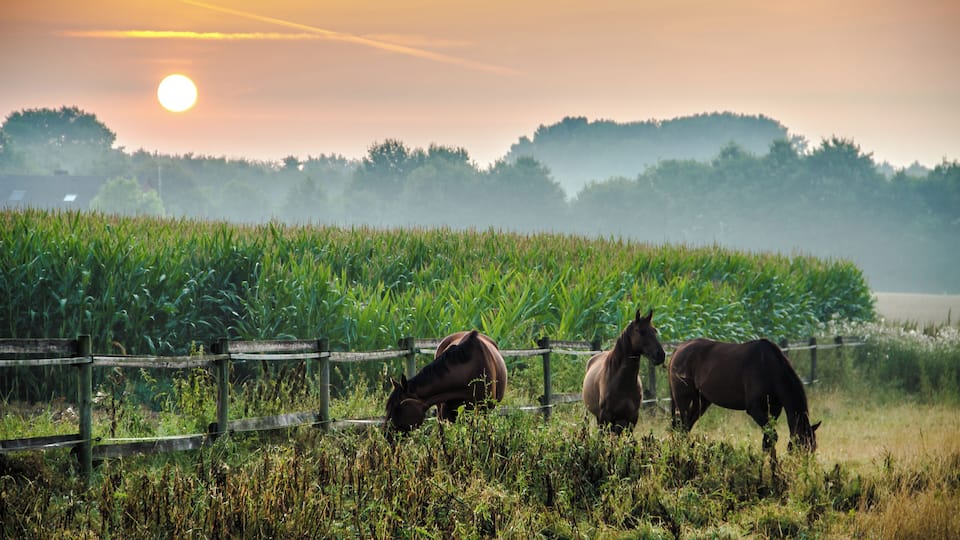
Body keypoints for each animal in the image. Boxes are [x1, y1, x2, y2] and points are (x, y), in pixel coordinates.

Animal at [668, 338, 821, 459]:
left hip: (701, 402)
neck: (769, 367)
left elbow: (767, 440)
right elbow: (771, 436)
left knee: (686, 428)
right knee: (681, 428)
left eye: (812, 448)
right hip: (683, 401)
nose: (801, 469)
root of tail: (678, 350)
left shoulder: (774, 410)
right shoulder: (755, 409)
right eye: (801, 446)